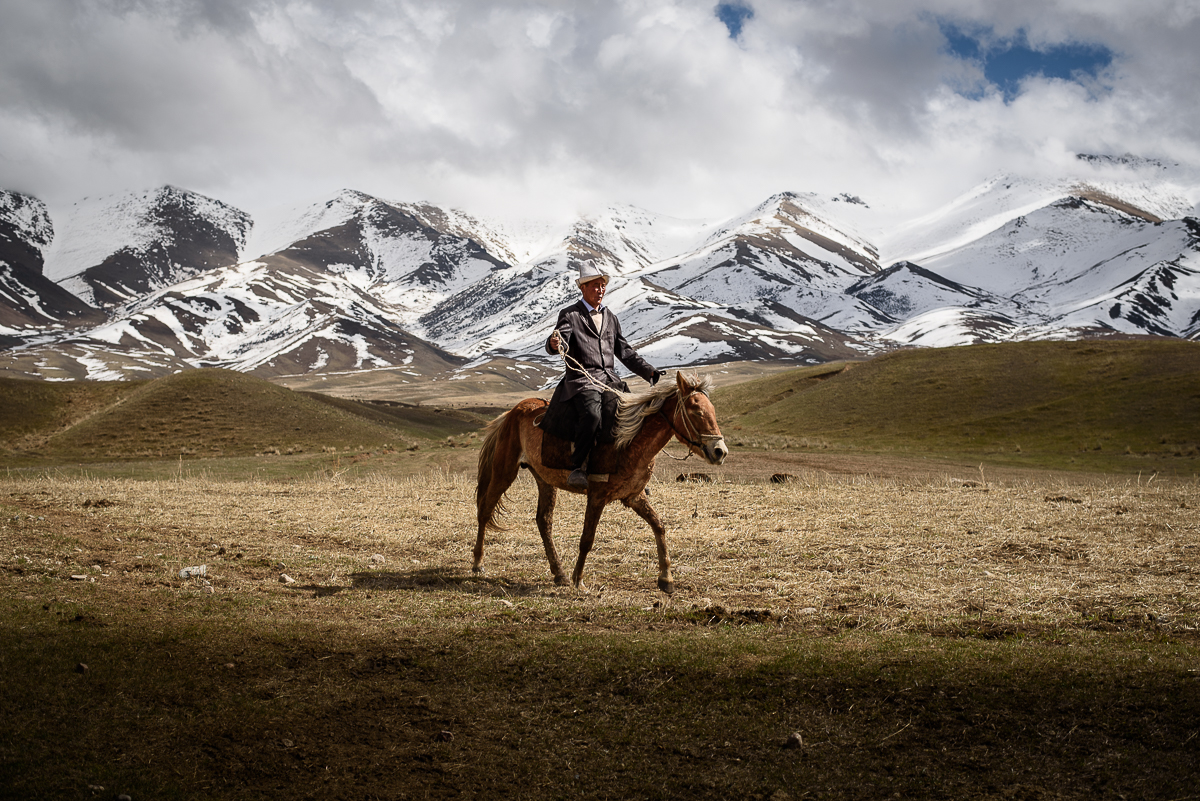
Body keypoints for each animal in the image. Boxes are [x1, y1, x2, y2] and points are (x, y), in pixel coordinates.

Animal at [472, 371, 724, 594]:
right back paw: (477, 563)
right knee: (485, 510)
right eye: (696, 412)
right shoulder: (597, 495)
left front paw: (666, 579)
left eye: (712, 410)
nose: (720, 451)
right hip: (504, 471)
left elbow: (659, 526)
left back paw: (559, 573)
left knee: (544, 521)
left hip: (544, 479)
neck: (628, 441)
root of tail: (513, 412)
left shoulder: (634, 496)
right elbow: (587, 539)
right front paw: (579, 580)